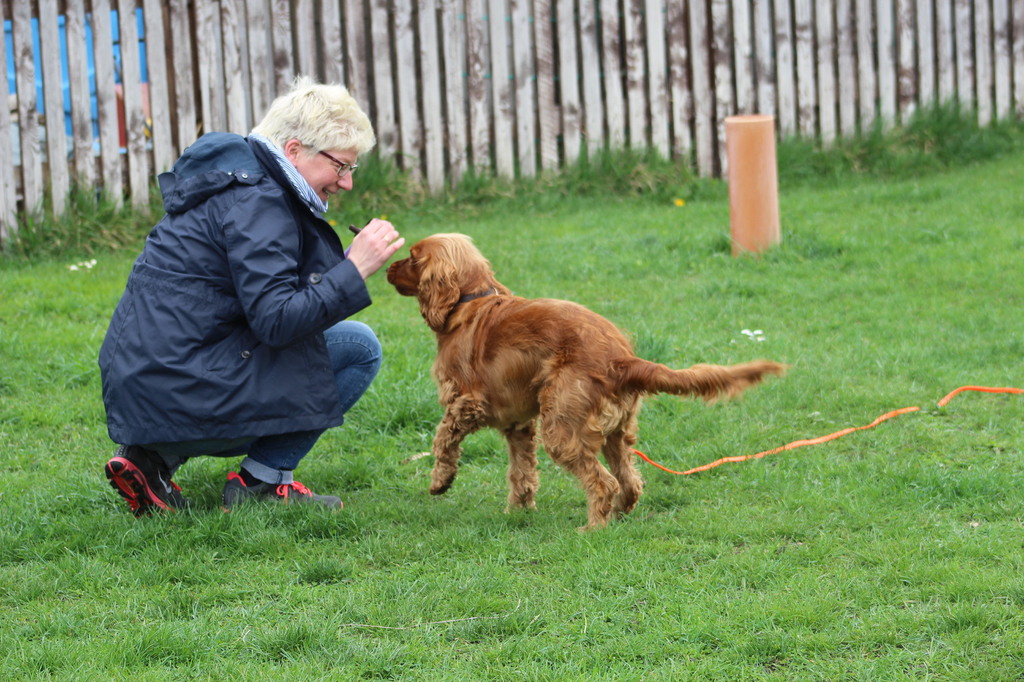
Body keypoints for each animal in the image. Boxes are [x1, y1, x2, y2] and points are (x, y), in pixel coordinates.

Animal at [386, 233, 785, 530]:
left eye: (412, 256)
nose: (387, 268)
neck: (469, 303)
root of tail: (621, 359)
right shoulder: (519, 424)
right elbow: (521, 472)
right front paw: (518, 511)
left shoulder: (466, 403)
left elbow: (443, 440)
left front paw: (440, 482)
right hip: (614, 431)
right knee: (629, 481)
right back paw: (617, 516)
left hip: (562, 428)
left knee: (603, 482)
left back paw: (592, 527)